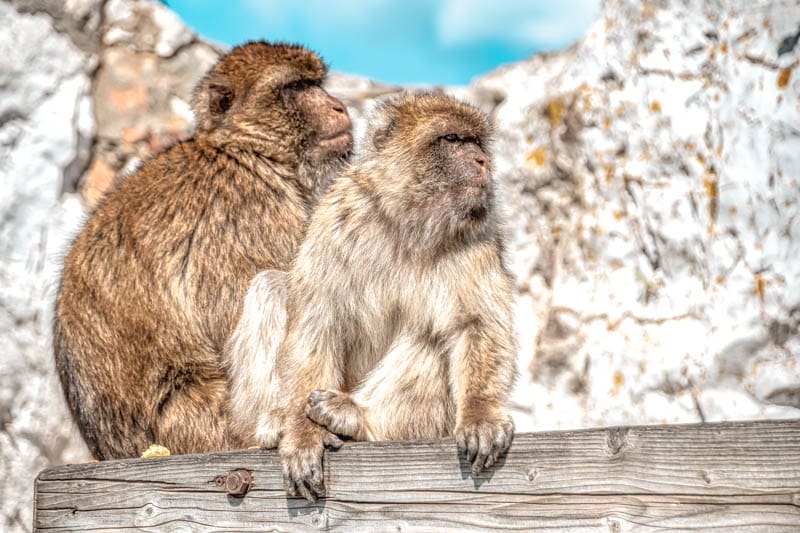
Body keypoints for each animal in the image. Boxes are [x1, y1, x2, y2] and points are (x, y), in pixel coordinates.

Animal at [53, 41, 353, 460]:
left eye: (317, 83)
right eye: (296, 87)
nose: (338, 106)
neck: (245, 150)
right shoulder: (245, 209)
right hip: (217, 426)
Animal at [260, 91, 518, 501]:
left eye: (476, 142)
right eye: (453, 139)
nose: (482, 161)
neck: (406, 217)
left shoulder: (478, 232)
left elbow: (475, 323)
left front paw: (481, 414)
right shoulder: (336, 216)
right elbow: (318, 323)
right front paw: (302, 437)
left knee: (431, 336)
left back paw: (359, 418)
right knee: (270, 285)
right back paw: (277, 423)